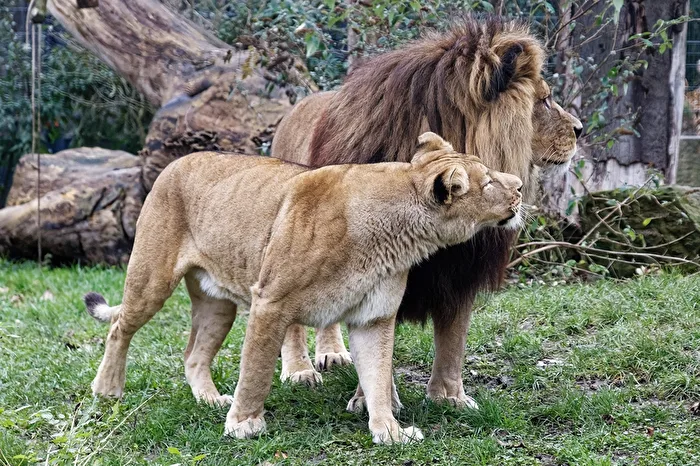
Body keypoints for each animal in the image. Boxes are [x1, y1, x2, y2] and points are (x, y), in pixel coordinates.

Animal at [83, 132, 524, 444]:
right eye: (487, 182)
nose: (519, 185)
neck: (397, 232)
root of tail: (175, 162)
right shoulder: (269, 302)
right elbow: (256, 370)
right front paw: (243, 424)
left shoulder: (374, 318)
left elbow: (378, 378)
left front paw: (390, 432)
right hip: (151, 279)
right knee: (119, 327)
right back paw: (107, 390)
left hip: (218, 304)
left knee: (193, 355)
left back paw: (208, 399)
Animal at [267, 16, 583, 408]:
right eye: (545, 99)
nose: (580, 130)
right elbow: (378, 346)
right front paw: (372, 400)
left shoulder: (462, 265)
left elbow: (454, 336)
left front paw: (450, 397)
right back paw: (299, 370)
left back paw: (332, 353)